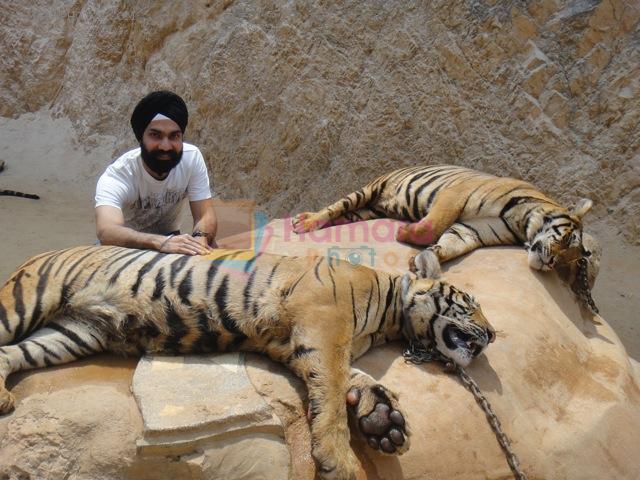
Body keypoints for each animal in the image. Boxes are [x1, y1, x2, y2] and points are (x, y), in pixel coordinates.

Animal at [0, 246, 496, 478]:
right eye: (471, 303)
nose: (492, 335)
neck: (392, 316)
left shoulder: (299, 343)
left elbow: (354, 380)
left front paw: (383, 423)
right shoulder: (323, 324)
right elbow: (333, 394)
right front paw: (340, 463)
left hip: (74, 332)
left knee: (8, 354)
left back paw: (3, 397)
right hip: (26, 302)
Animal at [292, 165, 604, 314]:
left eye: (566, 260)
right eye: (567, 240)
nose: (550, 263)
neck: (523, 223)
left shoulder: (474, 229)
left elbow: (449, 241)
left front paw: (425, 259)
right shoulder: (455, 195)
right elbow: (433, 225)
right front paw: (405, 234)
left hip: (367, 210)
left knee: (345, 215)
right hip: (369, 190)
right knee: (335, 206)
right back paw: (306, 222)